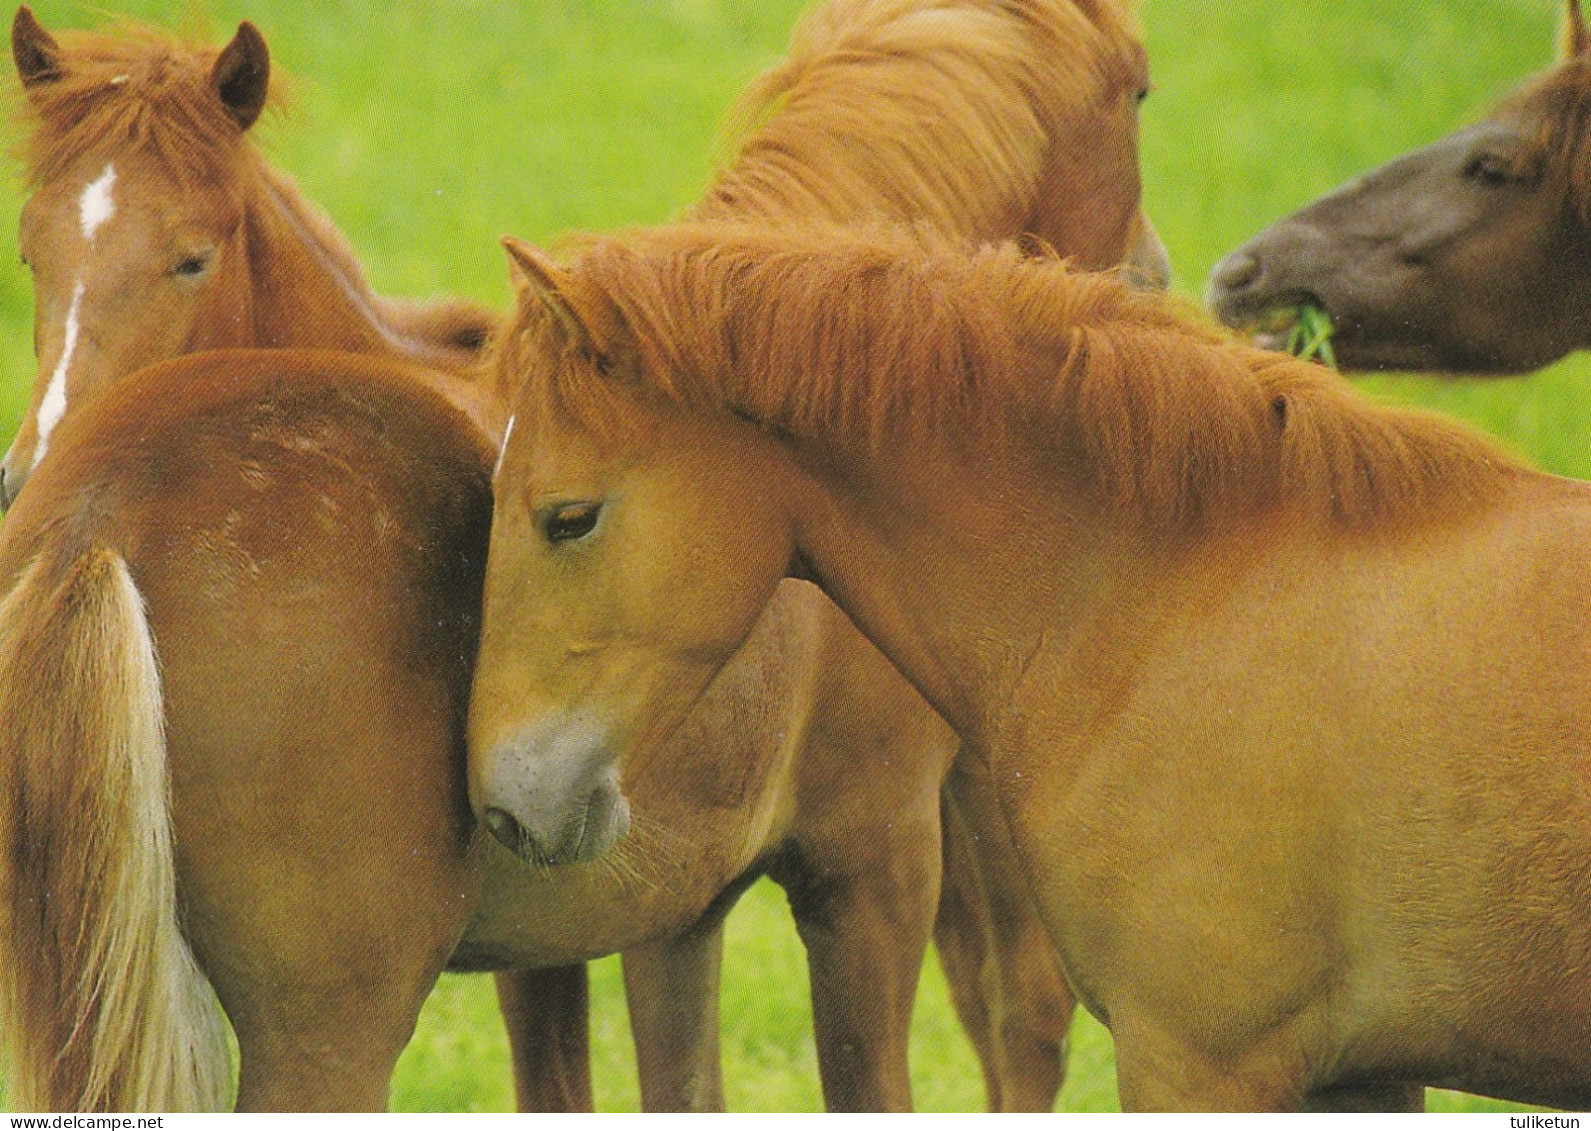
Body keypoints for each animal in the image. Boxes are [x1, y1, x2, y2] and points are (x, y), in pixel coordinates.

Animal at [0, 0, 1164, 1113]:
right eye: (1144, 92)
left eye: (192, 256)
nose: (1156, 276)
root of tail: (96, 514)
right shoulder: (868, 862)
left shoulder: (659, 911)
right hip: (329, 1026)